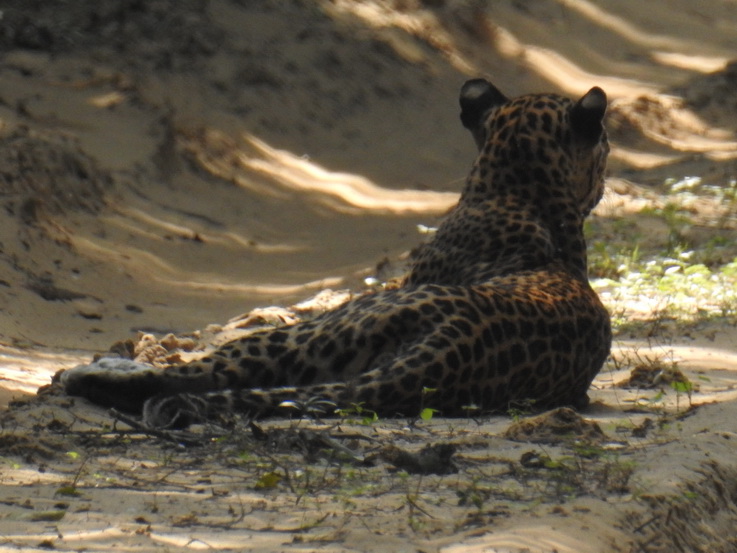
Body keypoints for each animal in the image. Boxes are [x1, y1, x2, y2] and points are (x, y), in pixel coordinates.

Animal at [59, 77, 608, 422]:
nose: (605, 175)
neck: (526, 192)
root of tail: (449, 351)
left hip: (306, 336)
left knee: (194, 374)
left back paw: (86, 374)